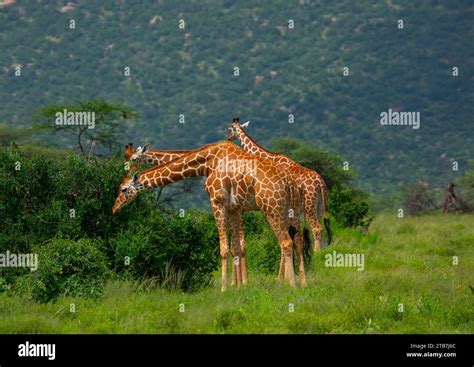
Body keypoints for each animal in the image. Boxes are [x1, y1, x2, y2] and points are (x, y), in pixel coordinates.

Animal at [112, 141, 300, 290]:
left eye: (123, 189)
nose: (114, 209)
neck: (206, 163)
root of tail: (289, 180)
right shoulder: (234, 207)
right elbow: (238, 247)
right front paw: (239, 286)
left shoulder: (218, 202)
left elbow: (225, 249)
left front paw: (226, 288)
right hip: (288, 211)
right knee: (296, 240)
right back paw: (297, 282)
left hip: (272, 208)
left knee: (285, 242)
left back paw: (289, 285)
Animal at [227, 118, 332, 256]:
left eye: (229, 128)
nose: (228, 138)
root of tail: (320, 182)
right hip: (319, 205)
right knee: (319, 226)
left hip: (309, 205)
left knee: (317, 228)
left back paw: (317, 253)